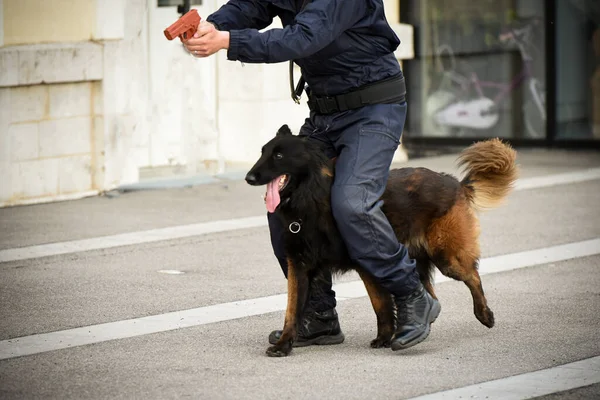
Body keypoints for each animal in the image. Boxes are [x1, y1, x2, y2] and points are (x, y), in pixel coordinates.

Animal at [246, 125, 516, 356]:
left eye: (279, 155)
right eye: (263, 153)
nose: (249, 178)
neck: (311, 196)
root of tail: (455, 183)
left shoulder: (367, 261)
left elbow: (381, 304)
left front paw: (385, 337)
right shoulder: (299, 265)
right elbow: (292, 310)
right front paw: (284, 344)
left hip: (447, 258)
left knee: (473, 276)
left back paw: (483, 314)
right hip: (417, 262)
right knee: (431, 296)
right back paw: (420, 322)